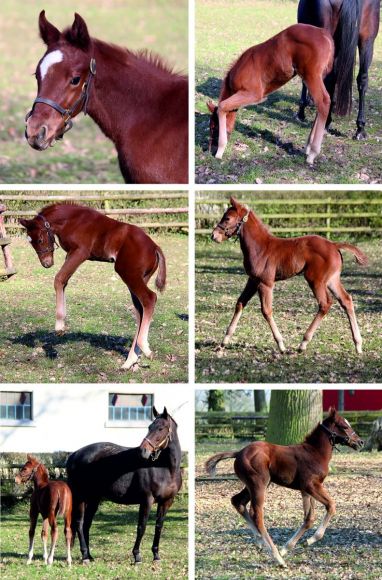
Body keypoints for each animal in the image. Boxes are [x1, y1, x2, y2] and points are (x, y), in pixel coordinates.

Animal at [206, 408, 364, 568]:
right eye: (344, 426)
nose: (360, 442)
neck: (315, 452)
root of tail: (238, 453)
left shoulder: (305, 489)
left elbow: (309, 518)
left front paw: (288, 547)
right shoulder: (311, 485)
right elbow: (331, 505)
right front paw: (311, 540)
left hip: (253, 485)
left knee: (237, 501)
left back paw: (260, 541)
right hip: (259, 484)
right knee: (257, 514)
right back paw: (277, 558)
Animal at [212, 197, 368, 354]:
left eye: (227, 218)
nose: (214, 236)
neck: (260, 247)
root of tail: (334, 245)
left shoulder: (265, 283)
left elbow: (266, 311)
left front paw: (281, 345)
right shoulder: (253, 280)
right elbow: (240, 303)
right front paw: (224, 341)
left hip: (315, 280)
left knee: (325, 304)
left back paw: (303, 343)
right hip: (331, 280)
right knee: (346, 300)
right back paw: (358, 344)